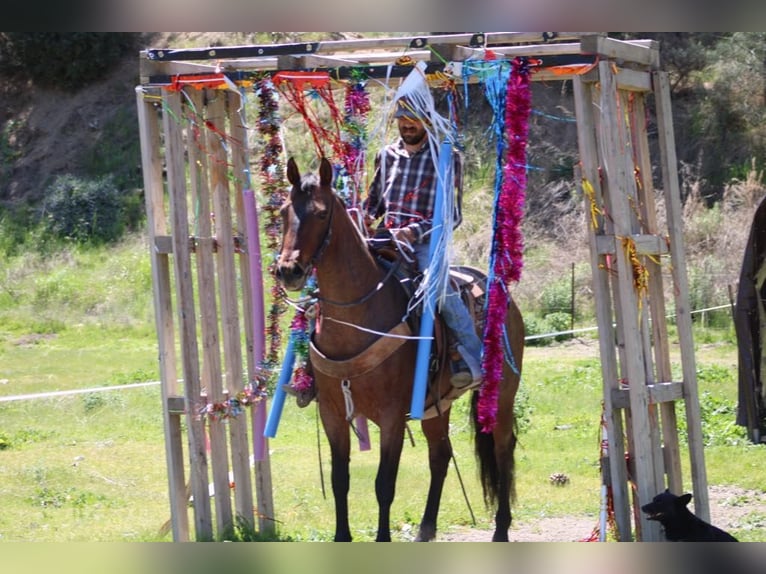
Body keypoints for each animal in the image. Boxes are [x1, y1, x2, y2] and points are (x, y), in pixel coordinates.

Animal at [276, 157, 524, 542]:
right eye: (285, 212)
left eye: (320, 213)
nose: (289, 270)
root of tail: (503, 295)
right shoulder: (332, 413)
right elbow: (339, 479)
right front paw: (342, 537)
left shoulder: (392, 416)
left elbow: (384, 484)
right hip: (437, 405)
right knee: (441, 455)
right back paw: (426, 529)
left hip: (502, 394)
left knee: (502, 450)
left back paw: (500, 530)